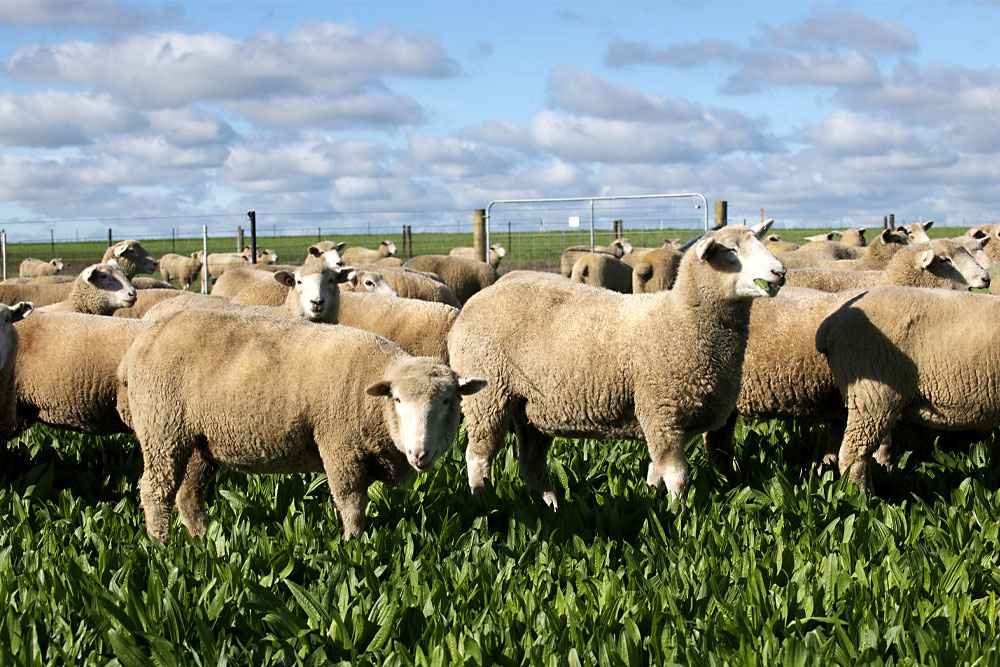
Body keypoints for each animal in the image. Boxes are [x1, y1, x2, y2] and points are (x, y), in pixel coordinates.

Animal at [118, 302, 485, 540]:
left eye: (447, 400)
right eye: (397, 400)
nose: (419, 453)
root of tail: (141, 342)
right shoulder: (340, 448)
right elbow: (351, 503)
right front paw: (353, 546)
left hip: (198, 441)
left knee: (188, 493)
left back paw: (201, 538)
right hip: (162, 429)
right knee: (154, 491)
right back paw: (161, 545)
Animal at [447, 222, 785, 506]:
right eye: (731, 251)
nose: (780, 271)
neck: (681, 318)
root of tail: (475, 301)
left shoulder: (663, 417)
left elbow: (656, 473)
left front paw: (655, 502)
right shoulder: (661, 410)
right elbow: (677, 478)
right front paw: (679, 516)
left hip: (530, 408)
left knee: (530, 465)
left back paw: (550, 507)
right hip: (488, 395)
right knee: (477, 457)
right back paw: (483, 501)